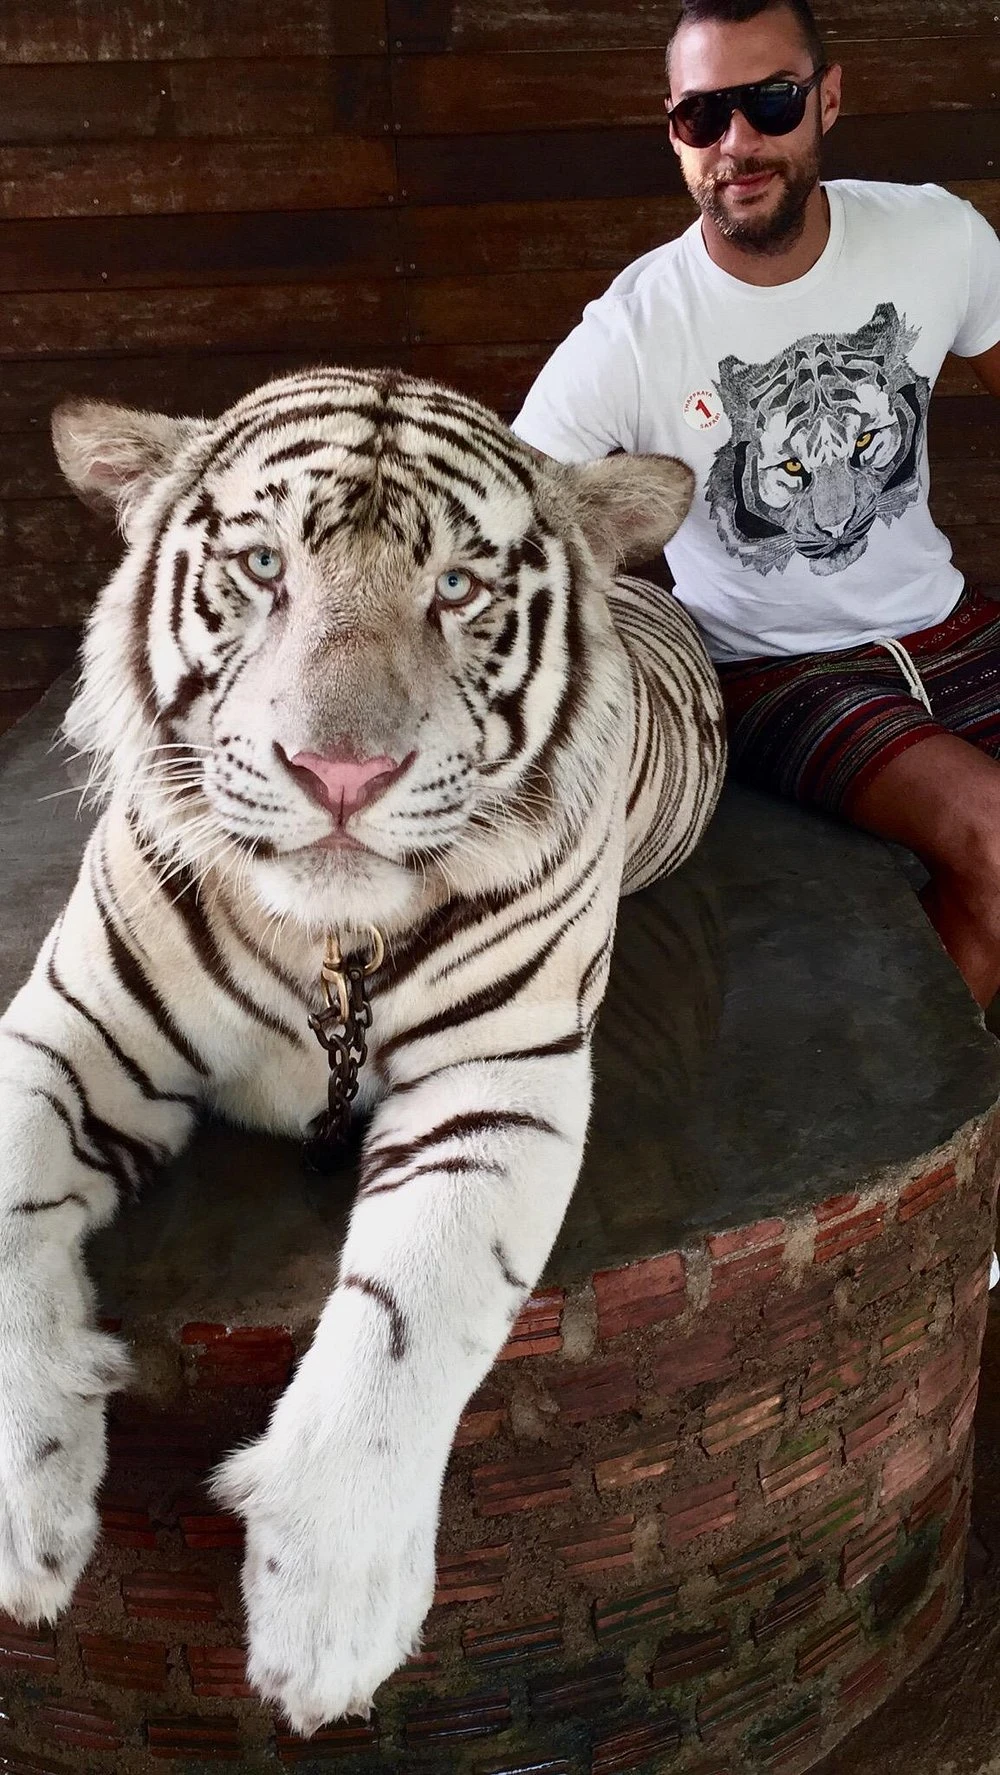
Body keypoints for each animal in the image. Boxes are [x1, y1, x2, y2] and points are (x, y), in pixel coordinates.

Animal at [0, 366, 725, 1734]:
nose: (341, 772)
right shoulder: (69, 1028)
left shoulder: (500, 1083)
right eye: (263, 565)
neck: (328, 938)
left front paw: (331, 1609)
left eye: (458, 587)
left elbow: (413, 1308)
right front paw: (28, 1509)